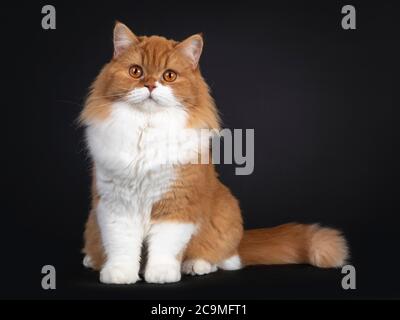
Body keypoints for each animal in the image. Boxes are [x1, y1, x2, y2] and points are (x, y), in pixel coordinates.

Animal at [79, 21, 348, 284]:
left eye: (169, 76)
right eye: (136, 71)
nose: (150, 85)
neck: (147, 128)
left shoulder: (177, 205)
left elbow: (165, 247)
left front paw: (161, 274)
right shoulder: (115, 205)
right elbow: (122, 246)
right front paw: (119, 274)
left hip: (225, 211)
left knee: (226, 259)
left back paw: (196, 266)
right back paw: (92, 261)